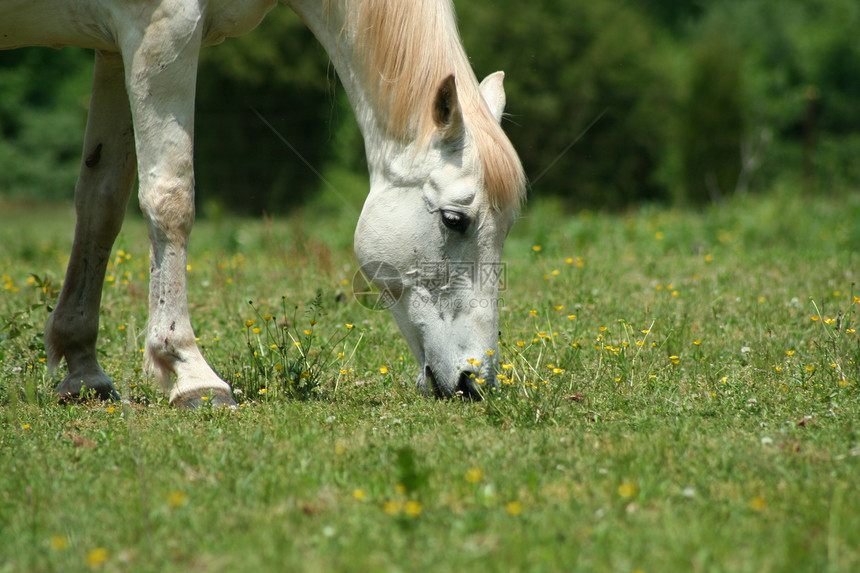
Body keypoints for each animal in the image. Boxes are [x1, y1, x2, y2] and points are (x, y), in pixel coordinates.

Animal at [0, 0, 528, 404]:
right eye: (455, 220)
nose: (475, 383)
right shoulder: (161, 30)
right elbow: (170, 198)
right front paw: (190, 372)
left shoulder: (113, 46)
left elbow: (101, 203)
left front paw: (82, 370)